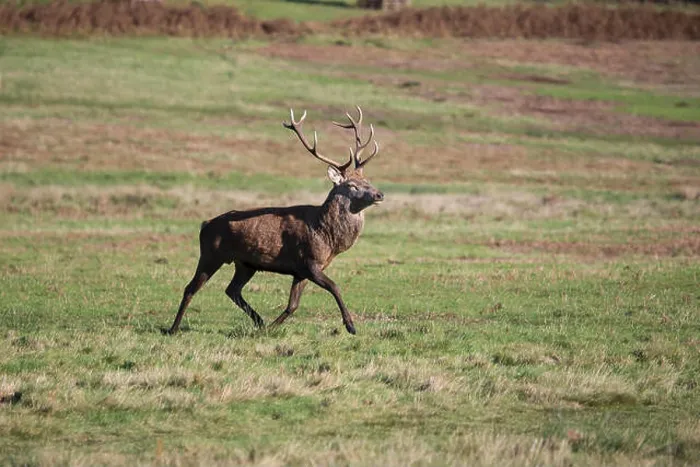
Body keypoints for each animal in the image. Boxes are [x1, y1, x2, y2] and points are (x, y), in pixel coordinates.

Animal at [167, 106, 384, 336]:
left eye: (367, 180)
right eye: (352, 185)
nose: (379, 194)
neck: (328, 237)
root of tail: (204, 225)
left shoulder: (301, 271)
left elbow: (293, 305)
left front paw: (270, 328)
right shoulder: (308, 261)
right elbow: (335, 287)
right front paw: (350, 325)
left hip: (245, 263)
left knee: (232, 290)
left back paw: (259, 321)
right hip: (211, 254)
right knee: (191, 288)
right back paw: (173, 328)